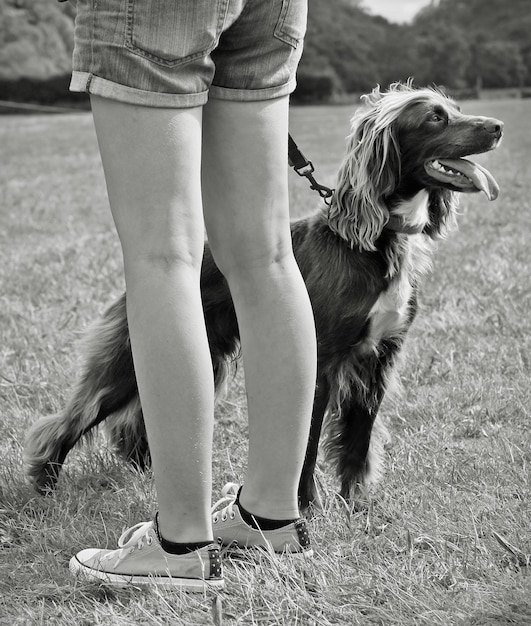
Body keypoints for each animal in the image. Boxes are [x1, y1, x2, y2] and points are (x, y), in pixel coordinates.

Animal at [23, 83, 502, 510]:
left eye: (458, 108)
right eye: (435, 118)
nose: (497, 126)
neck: (374, 242)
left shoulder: (379, 358)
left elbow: (358, 440)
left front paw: (356, 506)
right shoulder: (322, 361)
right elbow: (307, 443)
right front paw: (307, 507)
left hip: (207, 350)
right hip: (127, 360)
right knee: (72, 416)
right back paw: (44, 482)